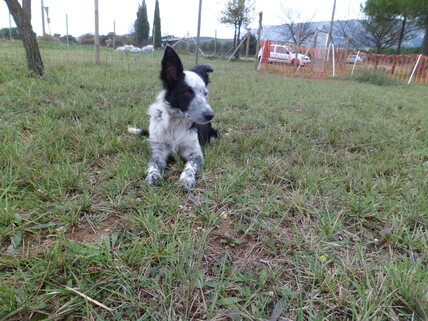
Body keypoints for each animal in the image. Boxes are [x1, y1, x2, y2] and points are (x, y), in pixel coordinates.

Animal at [128, 46, 217, 189]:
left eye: (205, 94)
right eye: (188, 92)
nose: (211, 115)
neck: (176, 122)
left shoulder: (195, 154)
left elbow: (190, 165)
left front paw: (186, 178)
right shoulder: (158, 152)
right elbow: (152, 164)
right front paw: (152, 175)